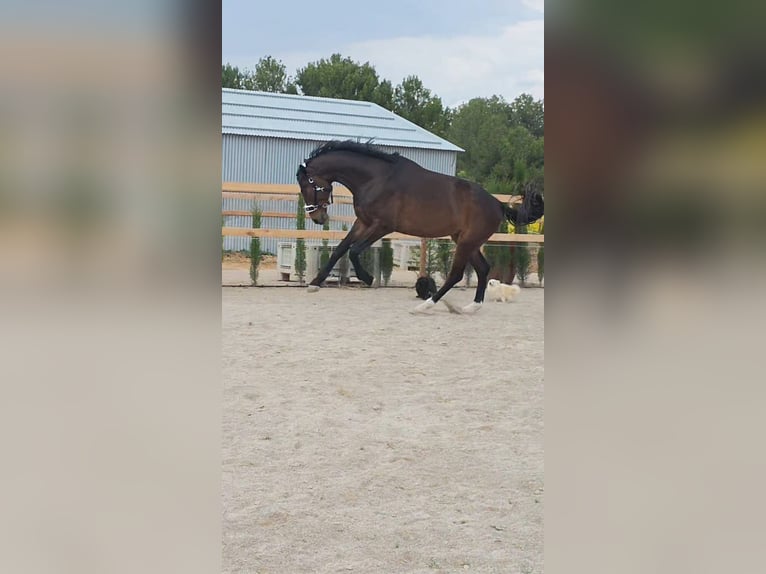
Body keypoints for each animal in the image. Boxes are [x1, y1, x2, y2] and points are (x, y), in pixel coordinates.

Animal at [295, 140, 544, 313]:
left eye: (309, 185)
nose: (317, 218)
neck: (376, 179)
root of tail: (497, 204)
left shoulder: (382, 226)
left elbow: (354, 251)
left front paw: (368, 278)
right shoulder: (363, 223)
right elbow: (340, 249)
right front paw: (315, 284)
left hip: (466, 242)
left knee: (456, 274)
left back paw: (426, 305)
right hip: (465, 240)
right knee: (483, 269)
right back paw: (470, 307)